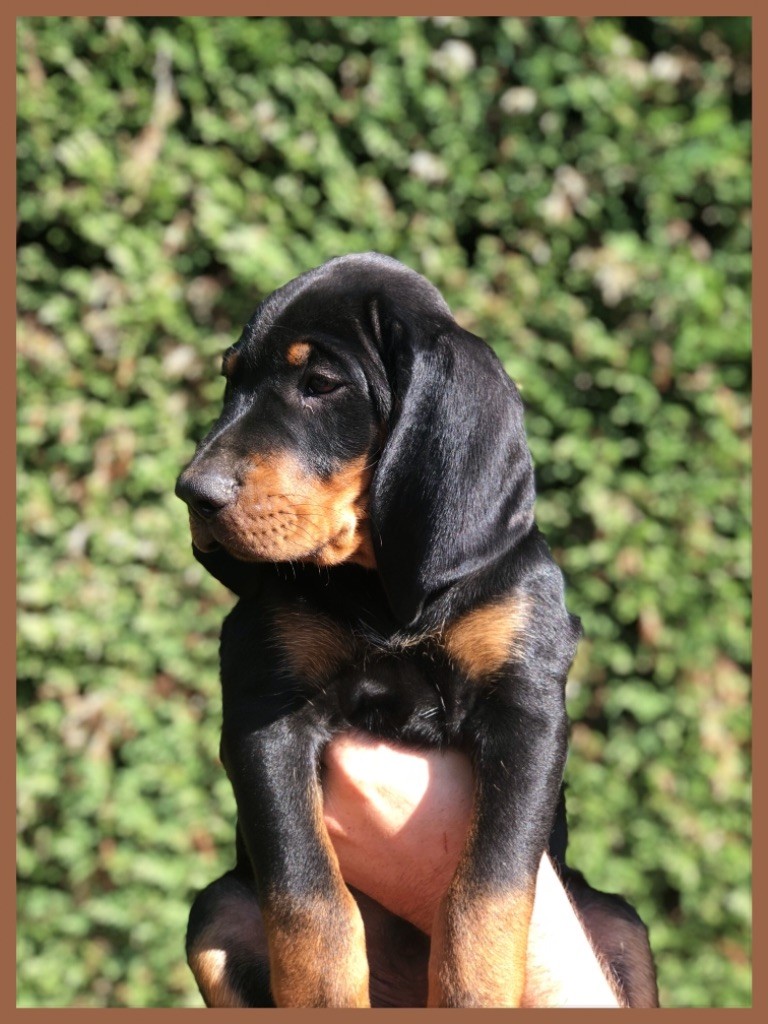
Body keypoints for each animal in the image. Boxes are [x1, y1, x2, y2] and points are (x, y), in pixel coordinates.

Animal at [175, 252, 658, 1007]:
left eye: (321, 385)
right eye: (229, 380)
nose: (193, 492)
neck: (386, 597)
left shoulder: (525, 711)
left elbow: (486, 890)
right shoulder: (265, 713)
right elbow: (309, 900)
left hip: (618, 922)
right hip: (217, 911)